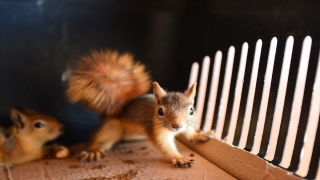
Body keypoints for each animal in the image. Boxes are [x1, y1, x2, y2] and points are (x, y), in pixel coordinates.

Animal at [66, 50, 214, 168]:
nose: (177, 126)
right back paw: (94, 150)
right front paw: (178, 158)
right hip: (112, 127)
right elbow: (165, 146)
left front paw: (200, 135)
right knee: (100, 137)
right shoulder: (155, 130)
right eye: (160, 111)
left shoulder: (188, 124)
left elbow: (189, 133)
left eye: (191, 110)